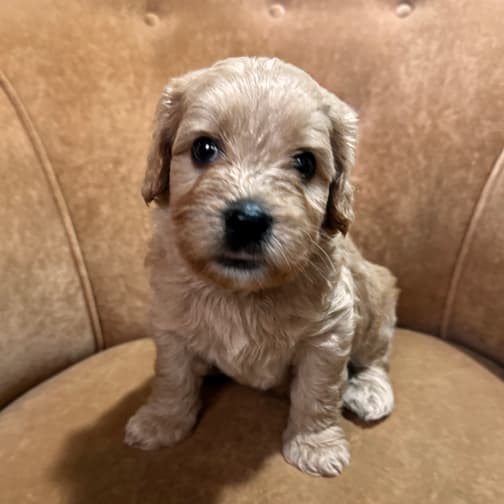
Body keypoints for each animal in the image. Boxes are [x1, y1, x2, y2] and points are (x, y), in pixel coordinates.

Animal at [125, 56, 398, 476]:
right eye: (204, 148)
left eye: (305, 162)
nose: (247, 219)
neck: (241, 292)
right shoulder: (170, 323)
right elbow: (172, 376)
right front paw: (161, 422)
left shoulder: (329, 332)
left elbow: (318, 392)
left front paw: (315, 445)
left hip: (376, 295)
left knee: (377, 356)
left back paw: (369, 390)